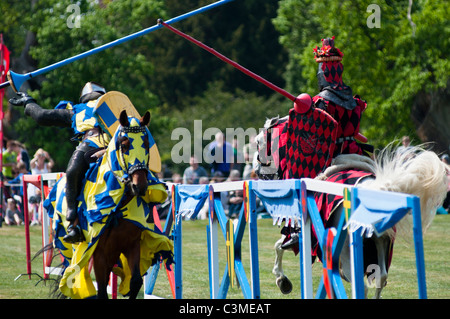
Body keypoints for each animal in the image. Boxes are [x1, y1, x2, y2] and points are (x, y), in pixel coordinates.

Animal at [44, 110, 174, 300]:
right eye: (125, 145)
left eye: (146, 143)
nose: (139, 185)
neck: (118, 207)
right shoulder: (99, 253)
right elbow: (101, 290)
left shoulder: (132, 245)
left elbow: (135, 281)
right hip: (71, 248)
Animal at [268, 146, 448, 298]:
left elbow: (279, 245)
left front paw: (281, 279)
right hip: (381, 241)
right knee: (381, 276)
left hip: (347, 251)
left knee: (361, 284)